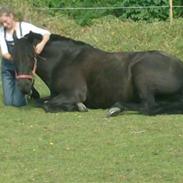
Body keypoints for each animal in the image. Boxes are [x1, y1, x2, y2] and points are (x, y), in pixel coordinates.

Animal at [12, 31, 183, 116]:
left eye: (31, 56)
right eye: (13, 56)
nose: (23, 86)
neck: (64, 60)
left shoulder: (75, 93)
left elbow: (47, 105)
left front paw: (77, 106)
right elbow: (40, 102)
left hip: (141, 74)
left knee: (149, 106)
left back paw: (116, 108)